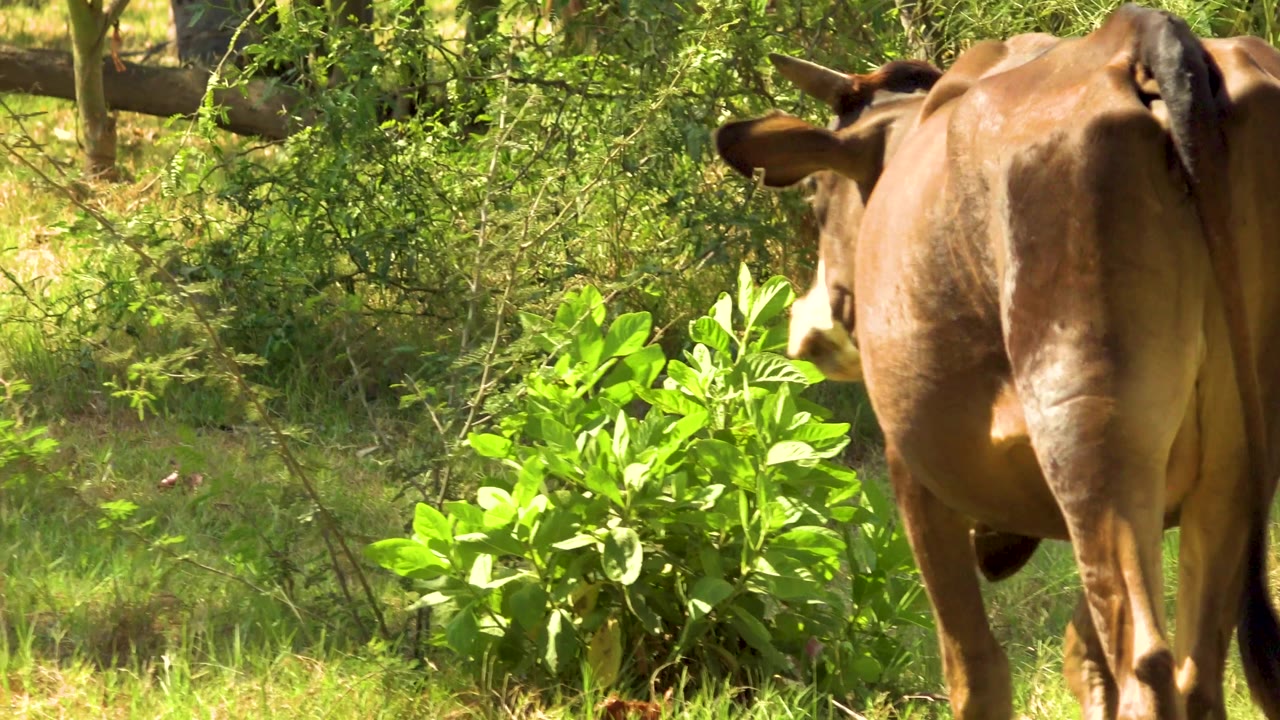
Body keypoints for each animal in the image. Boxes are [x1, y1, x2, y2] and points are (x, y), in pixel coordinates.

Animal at [714, 5, 1280, 720]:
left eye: (816, 196)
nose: (807, 331)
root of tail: (1138, 33)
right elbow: (1081, 654)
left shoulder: (912, 469)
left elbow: (974, 669)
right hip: (1233, 460)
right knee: (1194, 672)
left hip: (1086, 427)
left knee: (1144, 663)